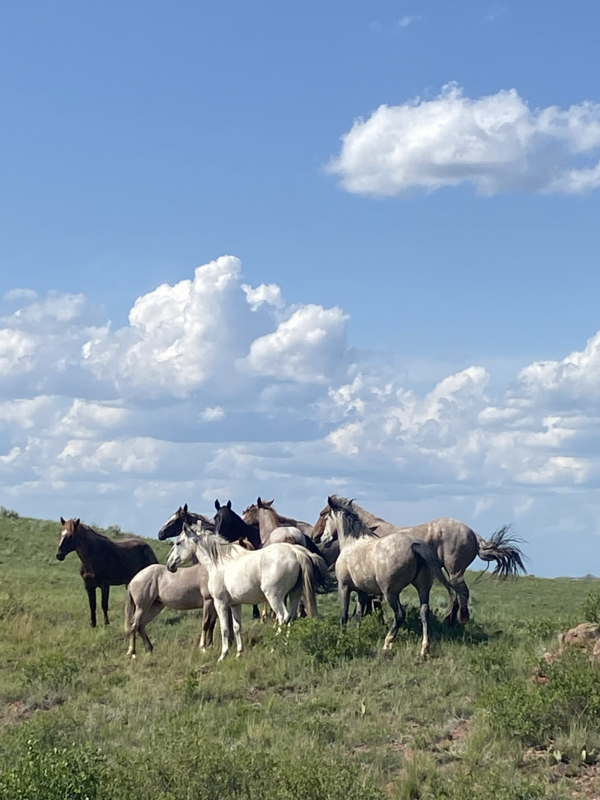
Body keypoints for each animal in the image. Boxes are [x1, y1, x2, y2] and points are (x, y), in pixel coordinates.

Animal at [167, 524, 334, 661]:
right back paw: (287, 646)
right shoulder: (235, 604)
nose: (170, 565)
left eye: (178, 542)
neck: (220, 562)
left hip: (274, 597)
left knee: (283, 617)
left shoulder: (220, 603)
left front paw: (223, 655)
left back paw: (274, 647)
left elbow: (224, 628)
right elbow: (237, 627)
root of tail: (295, 551)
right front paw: (239, 653)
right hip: (294, 594)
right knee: (292, 618)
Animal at [313, 495, 526, 625]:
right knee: (455, 594)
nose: (317, 538)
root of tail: (472, 533)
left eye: (323, 514)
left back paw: (456, 621)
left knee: (461, 593)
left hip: (454, 570)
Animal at [321, 496, 455, 657]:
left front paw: (341, 641)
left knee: (400, 614)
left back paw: (387, 643)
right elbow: (358, 616)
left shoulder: (344, 587)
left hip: (390, 592)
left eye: (327, 517)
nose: (323, 538)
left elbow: (344, 616)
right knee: (424, 612)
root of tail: (414, 545)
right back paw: (424, 649)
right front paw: (357, 639)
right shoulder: (362, 592)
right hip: (423, 588)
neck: (351, 543)